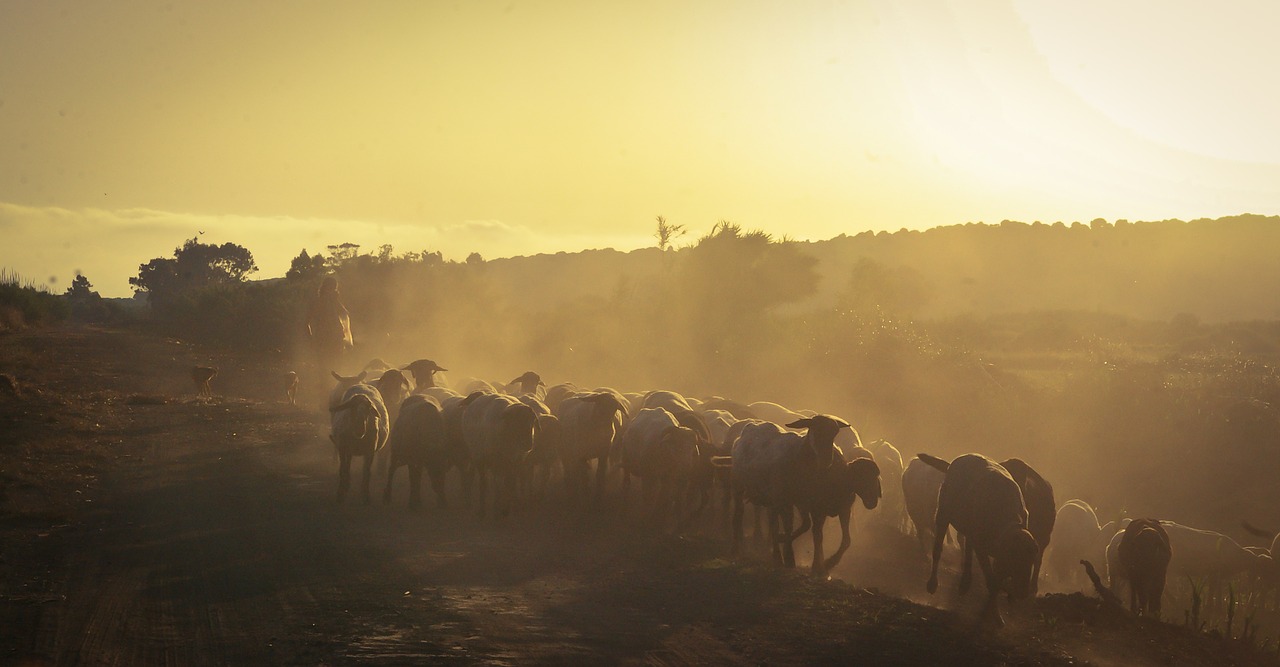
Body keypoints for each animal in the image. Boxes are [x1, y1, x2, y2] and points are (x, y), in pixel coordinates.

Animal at [732, 414, 880, 576]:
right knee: (741, 514)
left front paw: (825, 564)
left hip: (775, 499)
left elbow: (842, 539)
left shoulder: (835, 509)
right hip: (742, 486)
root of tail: (751, 426)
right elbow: (808, 531)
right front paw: (800, 561)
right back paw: (741, 548)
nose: (873, 501)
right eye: (815, 429)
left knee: (774, 522)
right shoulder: (808, 505)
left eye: (835, 433)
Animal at [921, 450, 1039, 627]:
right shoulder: (982, 549)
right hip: (943, 514)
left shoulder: (997, 556)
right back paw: (933, 583)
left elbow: (996, 582)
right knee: (938, 549)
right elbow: (991, 581)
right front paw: (994, 615)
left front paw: (991, 613)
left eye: (1030, 561)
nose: (1023, 592)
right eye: (1016, 560)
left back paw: (965, 582)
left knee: (967, 547)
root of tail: (952, 464)